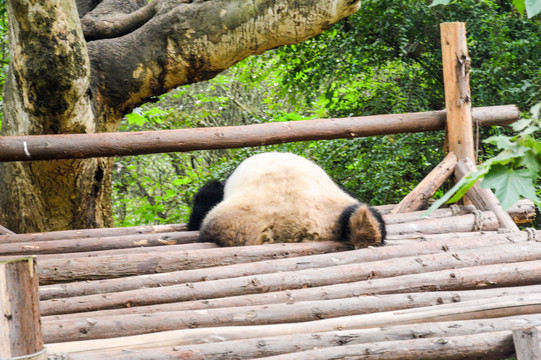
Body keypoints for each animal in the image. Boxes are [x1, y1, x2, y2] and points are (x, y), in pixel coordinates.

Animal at [186, 152, 384, 248]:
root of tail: (293, 222)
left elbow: (206, 197)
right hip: (334, 206)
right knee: (366, 214)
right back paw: (365, 229)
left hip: (233, 221)